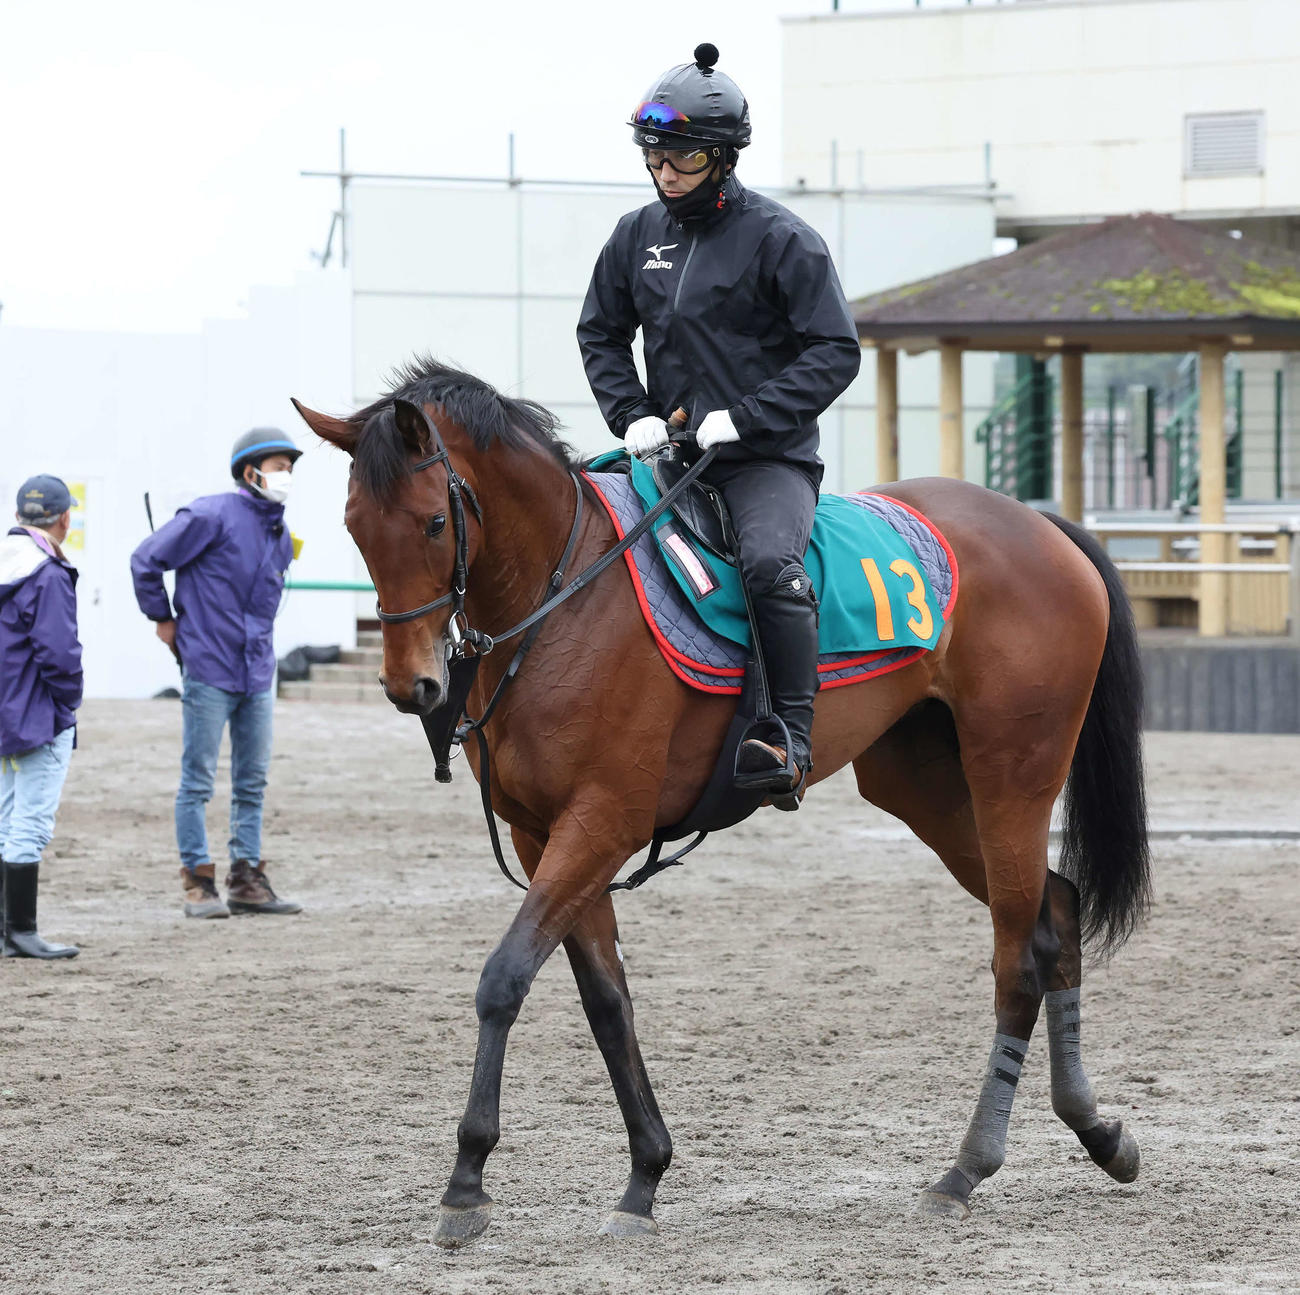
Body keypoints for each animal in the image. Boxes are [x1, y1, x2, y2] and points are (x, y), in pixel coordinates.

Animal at [293, 356, 1150, 1247]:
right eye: (356, 526)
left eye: (432, 522)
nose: (411, 686)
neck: (566, 597)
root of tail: (1040, 526)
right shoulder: (544, 835)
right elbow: (607, 999)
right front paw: (644, 1172)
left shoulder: (601, 822)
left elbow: (505, 978)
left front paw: (467, 1179)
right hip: (929, 790)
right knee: (1056, 914)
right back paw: (1097, 1131)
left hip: (1012, 778)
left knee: (1017, 959)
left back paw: (965, 1169)